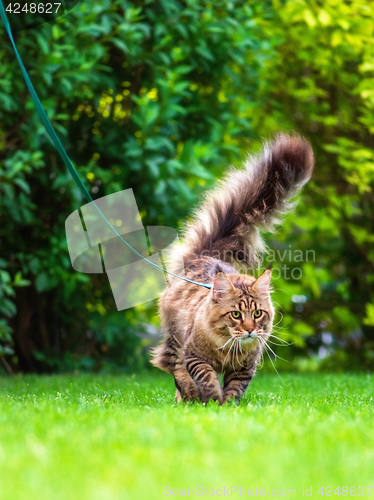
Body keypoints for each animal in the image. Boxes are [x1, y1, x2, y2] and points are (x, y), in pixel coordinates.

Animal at [150, 134, 314, 406]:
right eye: (235, 315)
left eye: (257, 314)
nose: (248, 329)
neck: (229, 348)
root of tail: (203, 257)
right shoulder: (194, 356)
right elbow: (205, 377)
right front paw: (212, 401)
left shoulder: (244, 368)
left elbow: (235, 389)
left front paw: (227, 406)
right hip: (175, 339)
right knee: (175, 367)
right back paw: (188, 396)